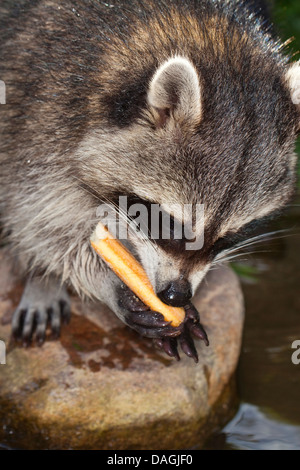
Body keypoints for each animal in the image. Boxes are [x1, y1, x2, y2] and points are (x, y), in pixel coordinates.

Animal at [0, 0, 300, 362]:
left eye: (230, 236)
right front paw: (110, 284)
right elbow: (40, 222)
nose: (175, 296)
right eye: (167, 222)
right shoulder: (43, 108)